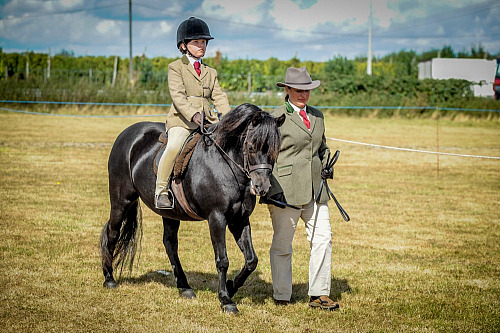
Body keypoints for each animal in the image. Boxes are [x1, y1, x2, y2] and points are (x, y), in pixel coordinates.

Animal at [99, 102, 286, 312]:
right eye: (252, 147)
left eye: (276, 150)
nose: (262, 187)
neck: (226, 164)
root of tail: (127, 134)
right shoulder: (217, 218)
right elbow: (222, 260)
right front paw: (226, 300)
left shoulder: (240, 220)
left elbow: (251, 260)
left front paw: (231, 287)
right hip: (121, 200)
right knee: (112, 233)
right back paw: (109, 279)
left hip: (169, 213)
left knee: (170, 244)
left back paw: (184, 287)